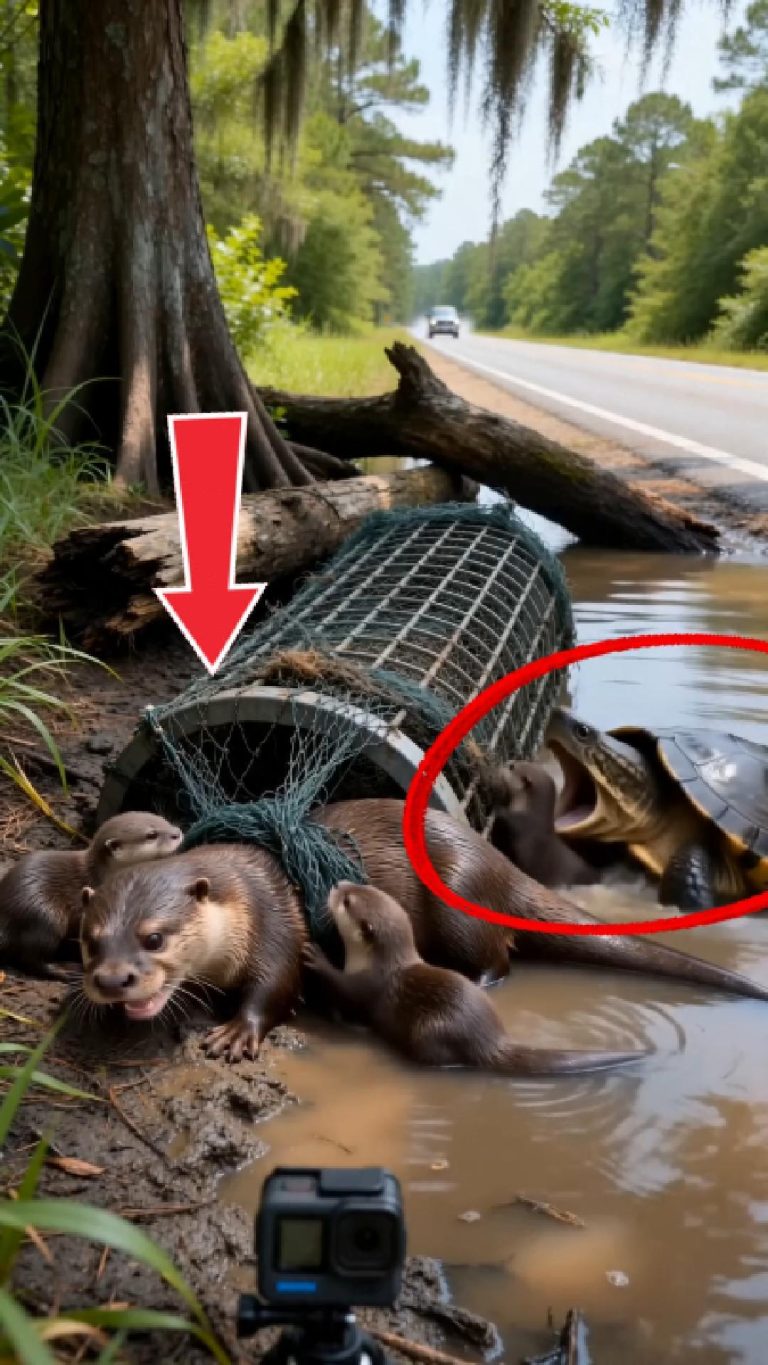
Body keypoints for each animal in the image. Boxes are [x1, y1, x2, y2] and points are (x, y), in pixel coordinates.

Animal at [0, 812, 183, 979]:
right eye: (151, 835)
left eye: (163, 819)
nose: (177, 832)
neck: (104, 875)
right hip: (44, 916)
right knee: (30, 958)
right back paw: (65, 970)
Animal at [79, 845, 306, 1063]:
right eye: (92, 943)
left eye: (154, 939)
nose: (112, 980)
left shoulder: (273, 920)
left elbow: (276, 979)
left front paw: (237, 1032)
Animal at [302, 882, 645, 1076]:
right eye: (359, 886)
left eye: (348, 901)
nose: (338, 883)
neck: (378, 961)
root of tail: (491, 1042)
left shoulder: (368, 983)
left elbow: (347, 992)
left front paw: (316, 956)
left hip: (432, 1031)